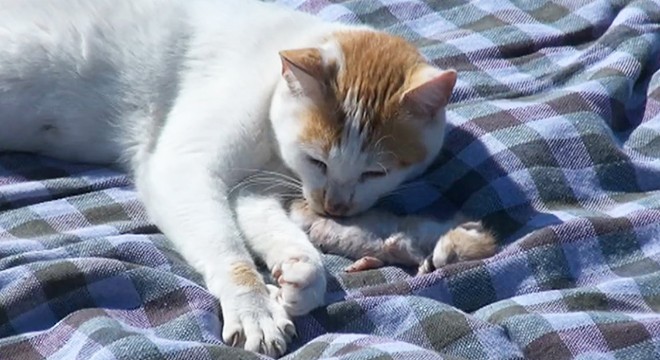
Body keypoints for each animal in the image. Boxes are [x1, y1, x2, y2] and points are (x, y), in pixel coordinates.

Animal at [0, 0, 496, 356]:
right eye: (317, 160)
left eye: (376, 171)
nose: (334, 206)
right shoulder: (185, 166)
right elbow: (229, 250)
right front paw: (253, 305)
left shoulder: (253, 190)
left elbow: (276, 232)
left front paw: (300, 273)